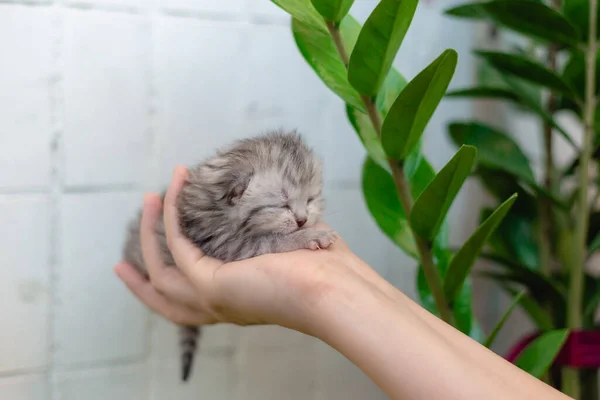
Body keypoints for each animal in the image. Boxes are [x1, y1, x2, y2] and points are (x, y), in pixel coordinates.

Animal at [120, 130, 338, 382]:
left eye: (310, 199)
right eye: (282, 204)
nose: (302, 220)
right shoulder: (226, 243)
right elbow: (276, 240)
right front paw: (311, 236)